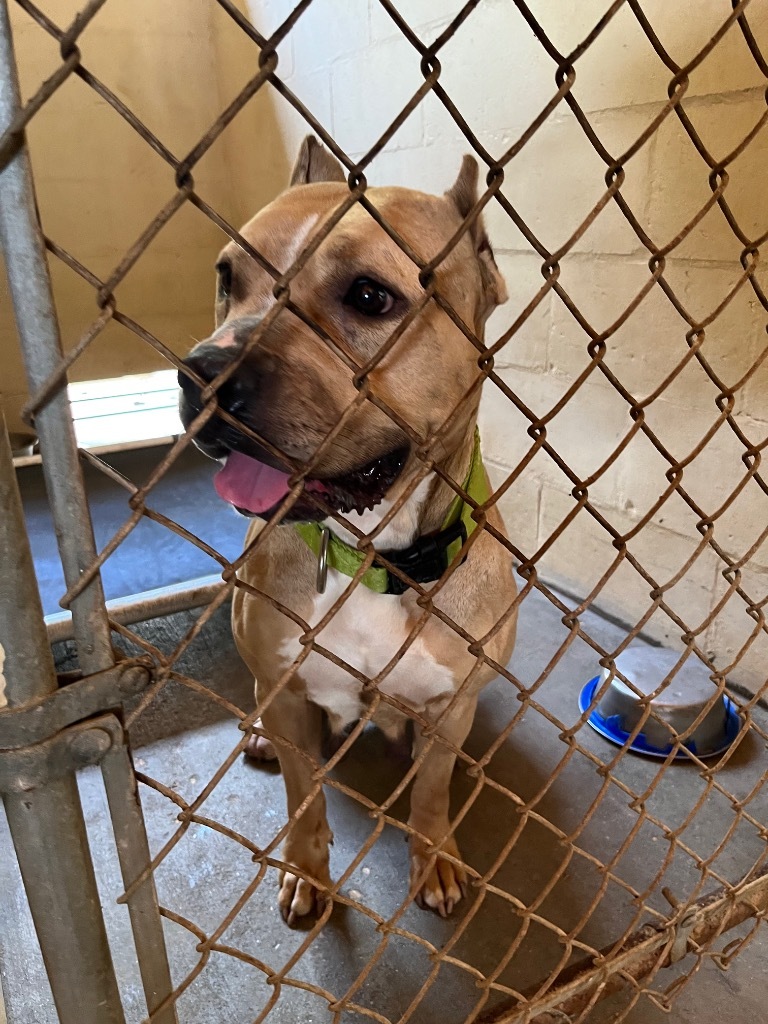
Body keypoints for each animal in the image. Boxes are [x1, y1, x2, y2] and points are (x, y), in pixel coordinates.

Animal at [179, 138, 518, 929]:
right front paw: (306, 873)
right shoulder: (289, 693)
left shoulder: (450, 705)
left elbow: (432, 790)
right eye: (227, 278)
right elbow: (303, 800)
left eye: (369, 296)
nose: (201, 373)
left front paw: (435, 856)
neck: (373, 554)